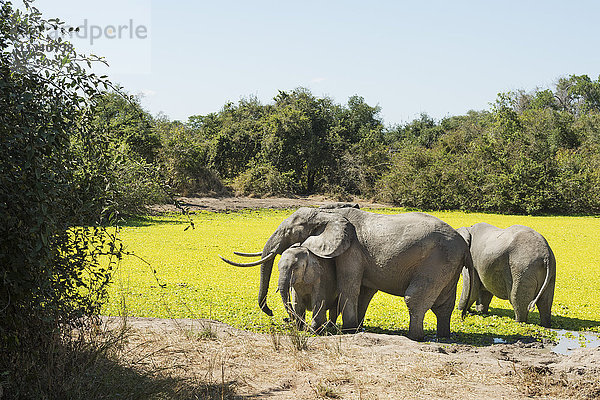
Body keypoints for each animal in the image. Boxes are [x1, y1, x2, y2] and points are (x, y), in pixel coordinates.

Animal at [220, 206, 474, 340]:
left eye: (290, 231)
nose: (272, 313)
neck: (327, 214)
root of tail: (464, 245)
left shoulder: (351, 250)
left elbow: (349, 285)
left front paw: (349, 330)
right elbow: (364, 290)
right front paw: (356, 329)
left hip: (436, 262)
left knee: (415, 299)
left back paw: (415, 337)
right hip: (448, 267)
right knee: (444, 306)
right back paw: (443, 336)